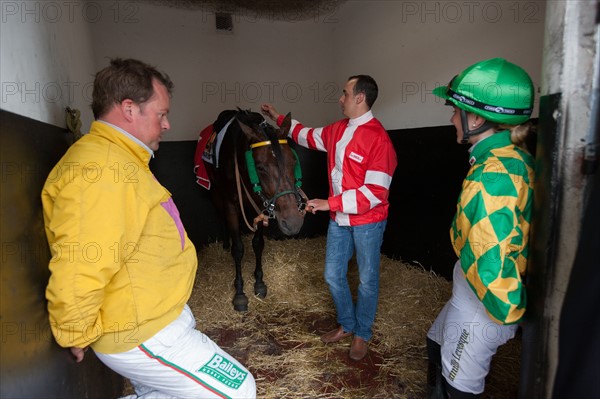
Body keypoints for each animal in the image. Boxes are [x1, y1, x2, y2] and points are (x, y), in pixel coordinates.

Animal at [197, 108, 308, 312]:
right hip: (215, 191)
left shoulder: (262, 203)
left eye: (293, 162)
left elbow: (258, 244)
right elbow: (238, 248)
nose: (293, 222)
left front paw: (259, 282)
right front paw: (240, 292)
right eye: (260, 167)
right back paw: (225, 243)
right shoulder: (230, 204)